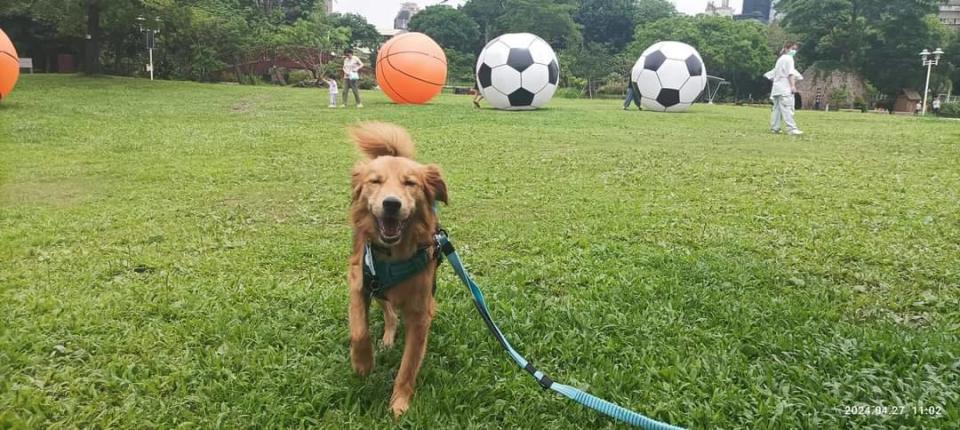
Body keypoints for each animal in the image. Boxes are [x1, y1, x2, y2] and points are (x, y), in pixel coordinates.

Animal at [346, 121, 448, 416]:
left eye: (410, 183)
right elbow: (359, 330)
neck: (394, 256)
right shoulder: (358, 282)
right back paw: (387, 339)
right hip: (378, 289)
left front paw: (399, 405)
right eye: (375, 181)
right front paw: (363, 363)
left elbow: (408, 366)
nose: (391, 203)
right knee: (390, 314)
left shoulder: (420, 314)